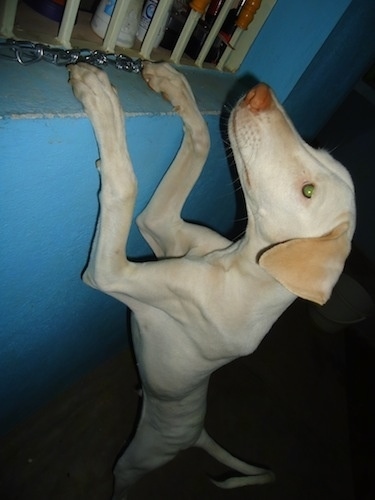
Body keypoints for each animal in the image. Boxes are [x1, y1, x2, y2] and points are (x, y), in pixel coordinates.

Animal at [68, 60, 356, 498]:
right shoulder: (157, 223)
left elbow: (125, 187)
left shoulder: (110, 272)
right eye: (318, 151)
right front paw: (173, 86)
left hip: (139, 456)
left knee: (124, 478)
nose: (261, 94)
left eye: (308, 191)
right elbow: (201, 142)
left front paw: (102, 102)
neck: (237, 265)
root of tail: (197, 433)